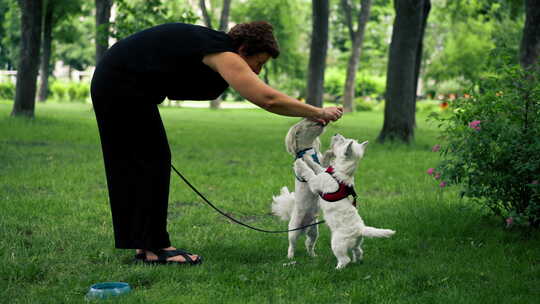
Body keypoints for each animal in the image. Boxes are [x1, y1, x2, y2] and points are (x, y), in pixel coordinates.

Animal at [270, 119, 330, 258]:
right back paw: (290, 257)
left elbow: (324, 162)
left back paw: (313, 256)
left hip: (314, 231)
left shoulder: (322, 164)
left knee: (309, 244)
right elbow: (306, 167)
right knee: (292, 245)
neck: (308, 150)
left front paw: (331, 152)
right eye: (308, 121)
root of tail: (303, 229)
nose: (323, 121)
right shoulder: (303, 169)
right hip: (293, 231)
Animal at [294, 134, 394, 270]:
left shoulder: (316, 183)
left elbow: (310, 173)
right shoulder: (323, 171)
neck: (341, 172)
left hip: (337, 243)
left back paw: (338, 268)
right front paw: (307, 158)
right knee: (358, 251)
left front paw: (300, 163)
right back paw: (357, 261)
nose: (336, 134)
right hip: (356, 243)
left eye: (343, 141)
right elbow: (317, 166)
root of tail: (360, 229)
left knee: (345, 259)